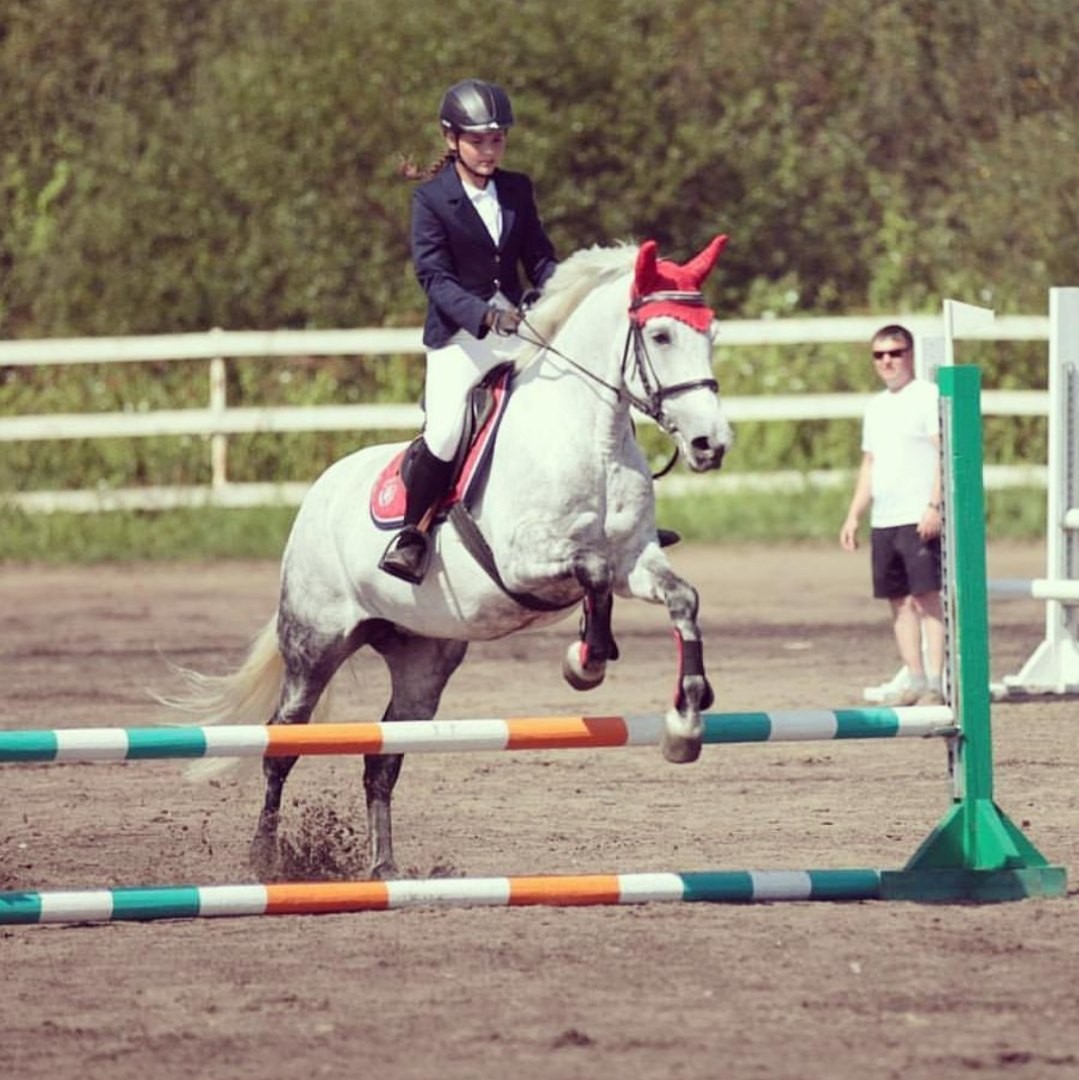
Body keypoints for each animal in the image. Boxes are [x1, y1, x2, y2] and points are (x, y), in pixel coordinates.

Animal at [165, 234, 734, 879]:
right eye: (660, 336)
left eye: (712, 334)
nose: (711, 444)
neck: (592, 439)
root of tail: (320, 492)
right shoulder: (524, 563)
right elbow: (590, 571)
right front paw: (585, 661)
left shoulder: (635, 561)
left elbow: (680, 599)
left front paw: (685, 720)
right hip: (315, 643)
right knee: (280, 745)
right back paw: (267, 860)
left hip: (422, 662)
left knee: (382, 759)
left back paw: (382, 868)